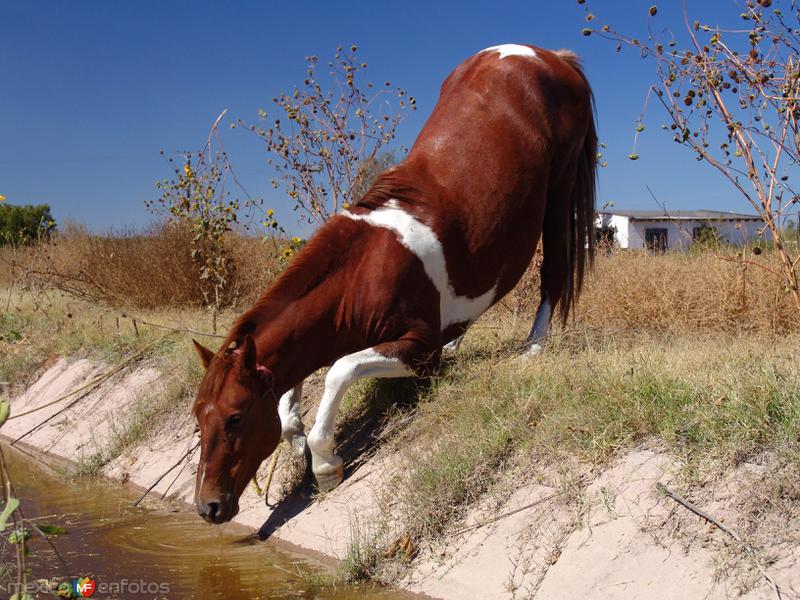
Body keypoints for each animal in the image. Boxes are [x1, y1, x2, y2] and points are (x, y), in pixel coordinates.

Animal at [192, 44, 592, 524]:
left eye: (235, 417)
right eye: (198, 419)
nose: (208, 506)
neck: (360, 272)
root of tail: (551, 56)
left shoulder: (419, 348)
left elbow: (340, 370)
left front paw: (324, 462)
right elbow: (291, 403)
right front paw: (298, 443)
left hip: (560, 186)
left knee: (554, 271)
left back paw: (532, 346)